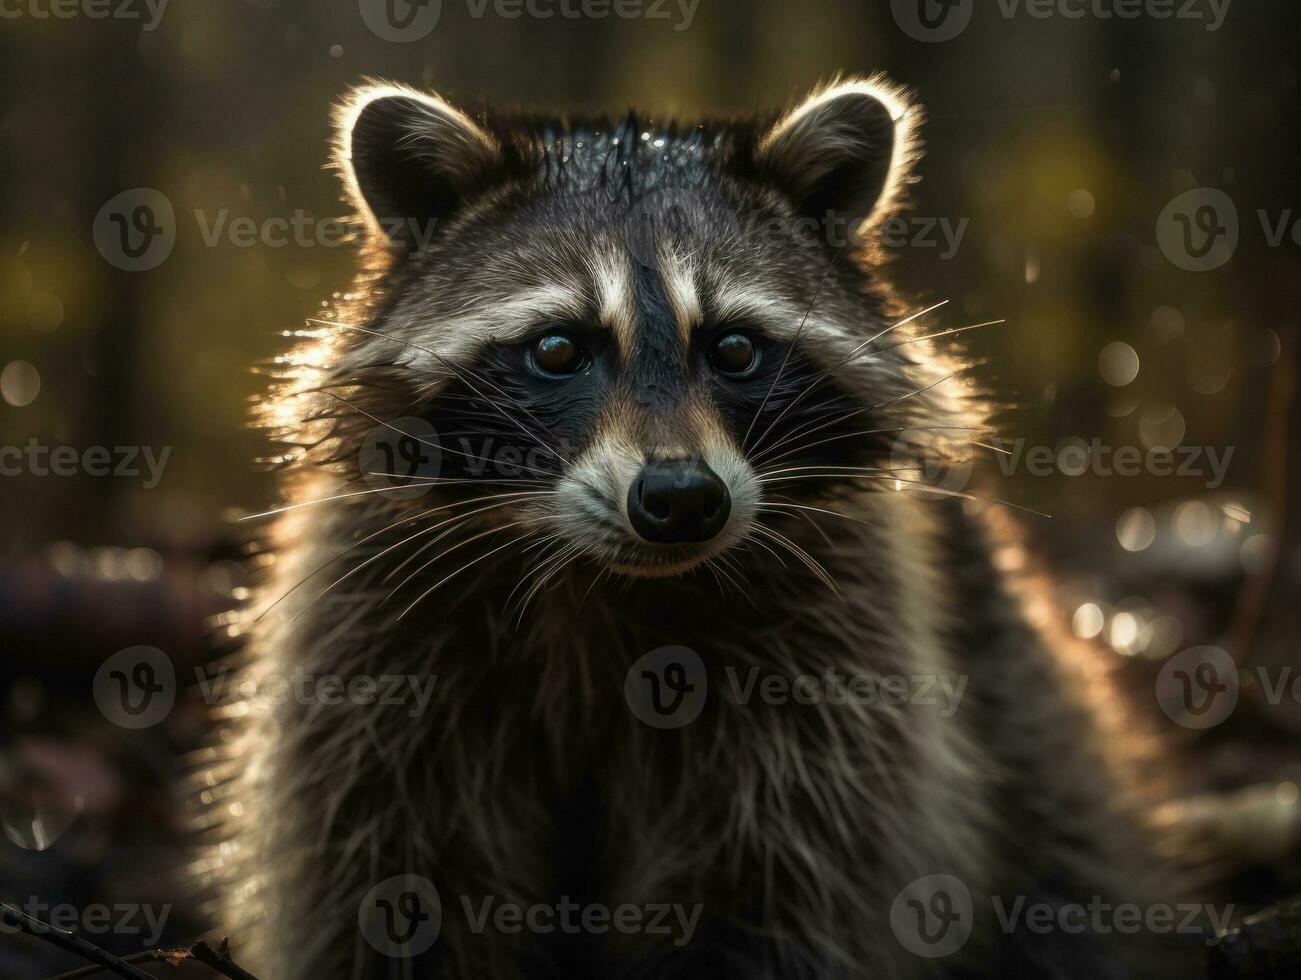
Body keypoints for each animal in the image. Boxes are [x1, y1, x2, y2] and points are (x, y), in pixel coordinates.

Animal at [200, 78, 1191, 978]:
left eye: (735, 348)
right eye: (557, 349)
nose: (680, 498)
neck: (601, 579)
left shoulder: (835, 652)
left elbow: (779, 877)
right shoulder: (375, 635)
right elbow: (391, 876)